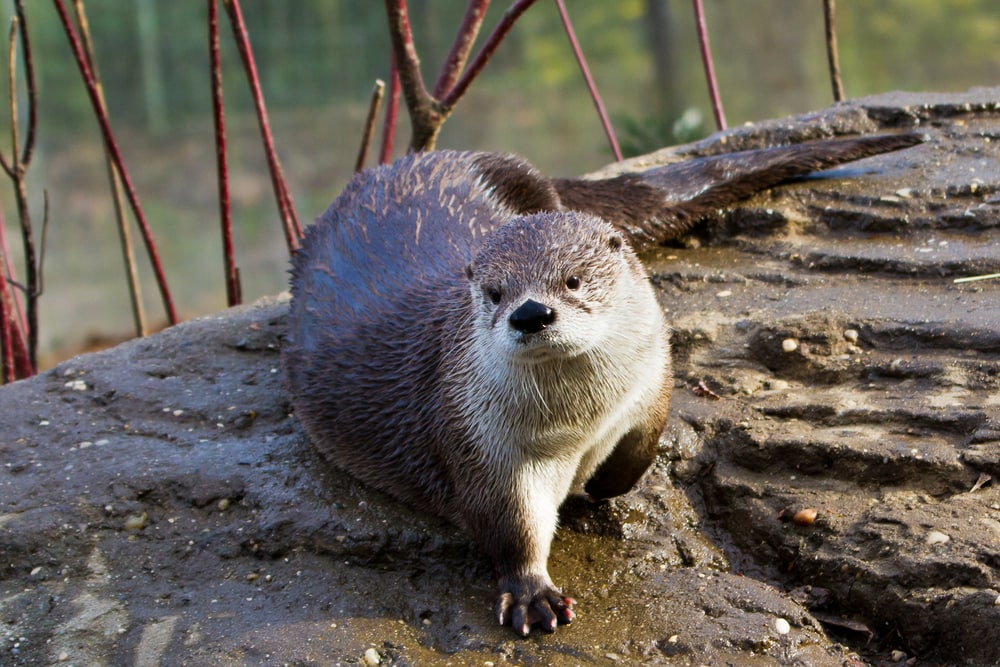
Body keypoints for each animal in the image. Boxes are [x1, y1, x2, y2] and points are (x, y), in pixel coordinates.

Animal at [282, 134, 922, 635]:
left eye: (572, 279)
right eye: (494, 292)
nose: (530, 312)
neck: (579, 420)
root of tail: (431, 156)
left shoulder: (653, 374)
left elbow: (644, 445)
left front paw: (608, 486)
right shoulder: (474, 437)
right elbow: (507, 524)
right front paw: (532, 593)